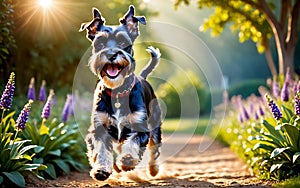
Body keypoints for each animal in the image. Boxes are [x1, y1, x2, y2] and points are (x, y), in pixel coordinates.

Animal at [78, 4, 161, 181]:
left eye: (123, 42)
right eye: (100, 43)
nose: (111, 55)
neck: (117, 92)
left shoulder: (139, 126)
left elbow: (133, 142)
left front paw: (128, 159)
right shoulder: (99, 127)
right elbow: (101, 149)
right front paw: (101, 170)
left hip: (155, 124)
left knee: (154, 148)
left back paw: (153, 169)